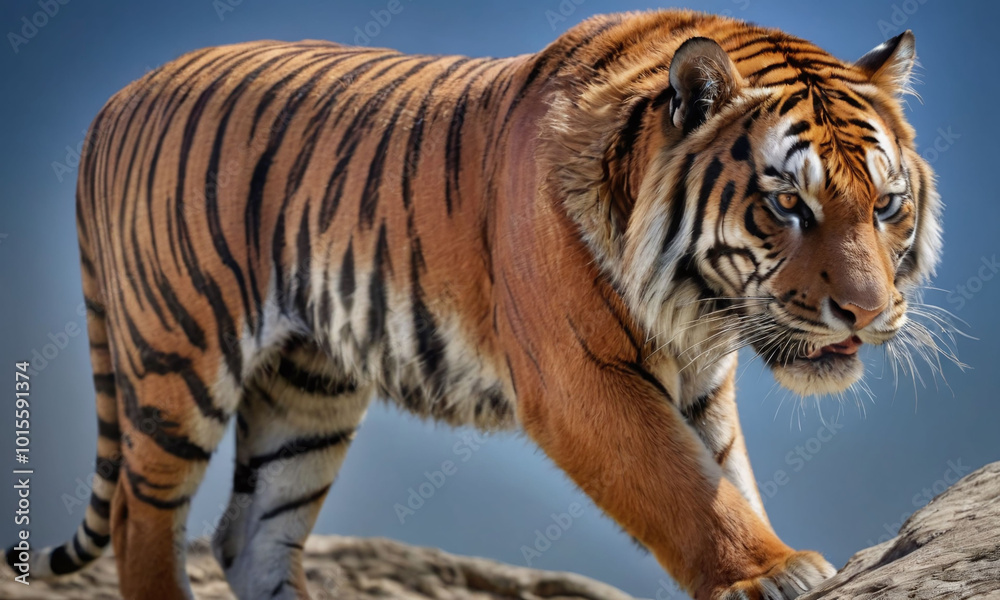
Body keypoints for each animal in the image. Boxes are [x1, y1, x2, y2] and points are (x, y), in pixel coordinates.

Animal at [3, 8, 942, 600]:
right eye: (788, 204)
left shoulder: (704, 385)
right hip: (179, 352)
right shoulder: (579, 378)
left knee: (251, 535)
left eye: (886, 205)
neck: (698, 308)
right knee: (141, 518)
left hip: (307, 386)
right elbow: (686, 489)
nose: (868, 315)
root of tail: (115, 100)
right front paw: (770, 572)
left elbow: (728, 478)